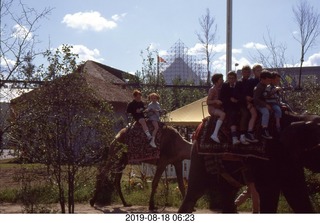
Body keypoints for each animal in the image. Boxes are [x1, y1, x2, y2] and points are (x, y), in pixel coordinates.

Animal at [178, 110, 320, 213]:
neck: (298, 117)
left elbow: (296, 192)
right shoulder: (268, 156)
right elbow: (270, 191)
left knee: (228, 194)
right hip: (198, 156)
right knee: (195, 192)